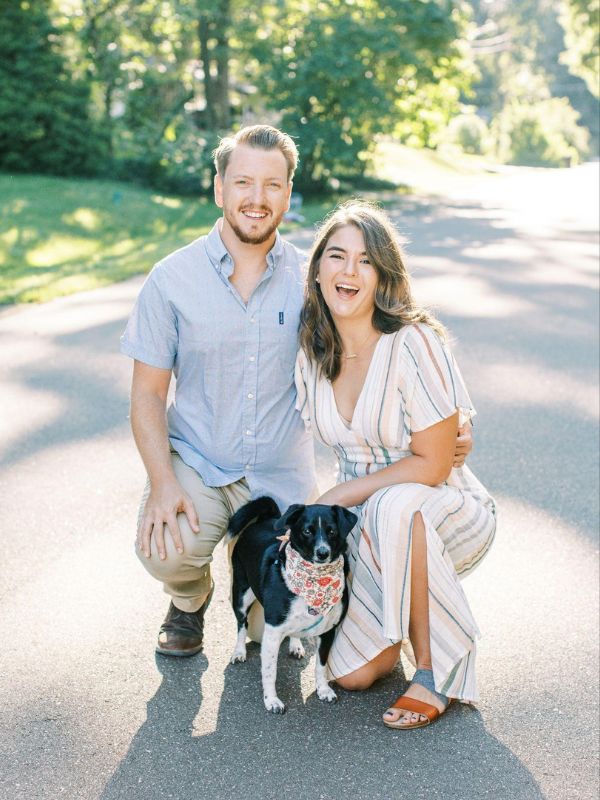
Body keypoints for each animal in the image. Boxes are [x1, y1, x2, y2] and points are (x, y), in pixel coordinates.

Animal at [225, 496, 356, 716]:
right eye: (307, 531)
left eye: (332, 531)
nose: (322, 553)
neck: (315, 581)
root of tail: (267, 518)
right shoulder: (272, 632)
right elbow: (270, 671)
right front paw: (272, 701)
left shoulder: (327, 632)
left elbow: (321, 665)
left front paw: (323, 689)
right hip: (241, 594)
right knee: (242, 624)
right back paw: (239, 651)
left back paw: (295, 645)